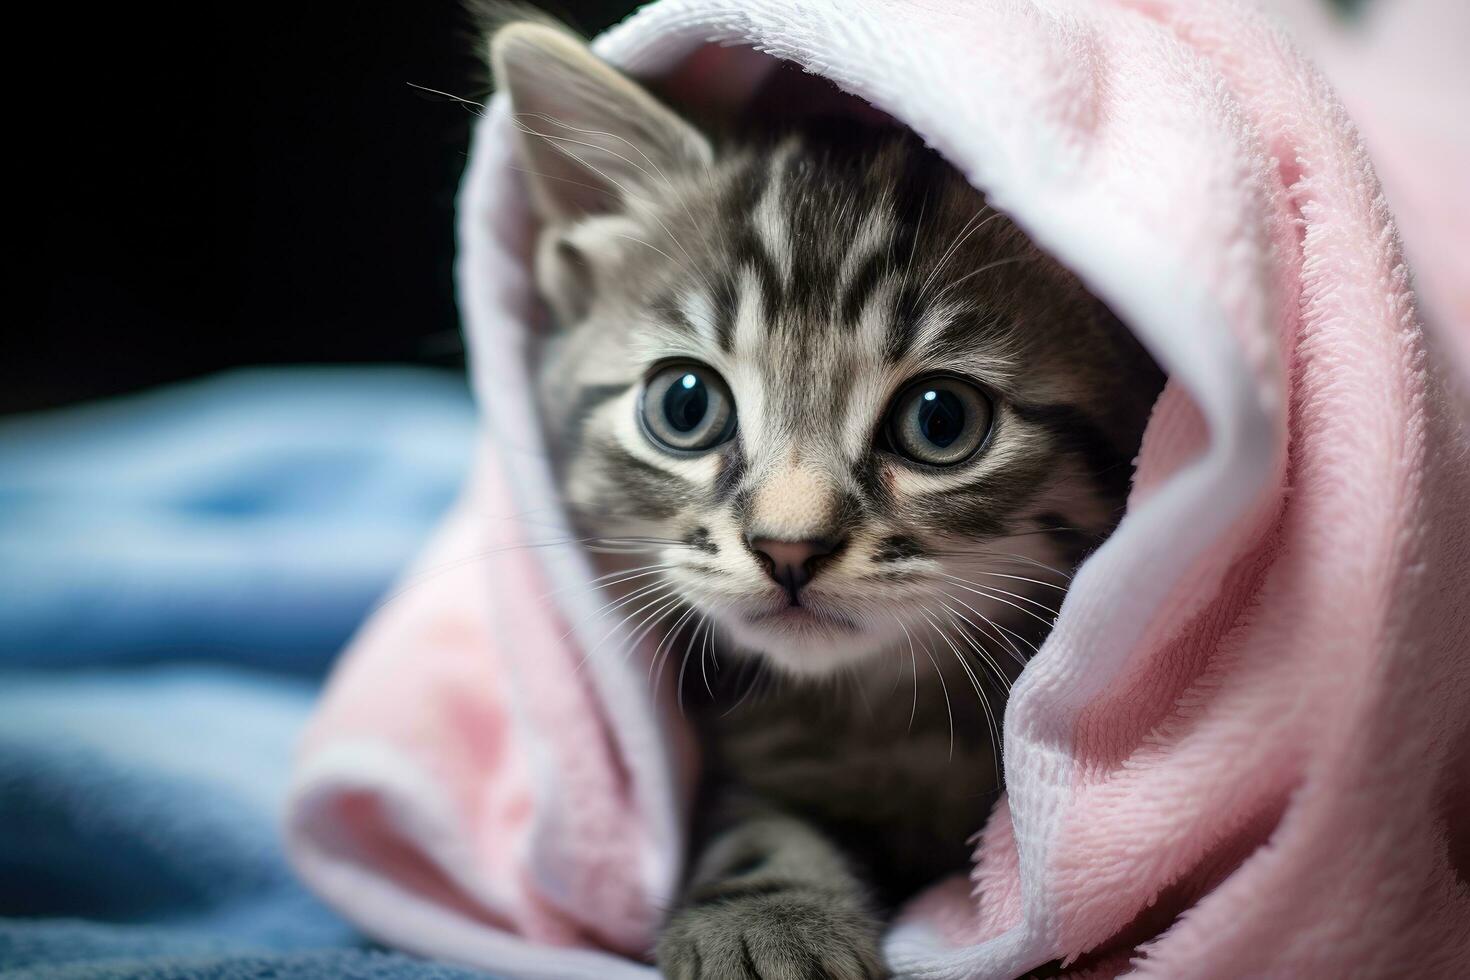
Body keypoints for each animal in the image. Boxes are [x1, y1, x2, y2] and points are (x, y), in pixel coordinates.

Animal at [488, 22, 1164, 980]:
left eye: (940, 419)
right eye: (684, 406)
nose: (788, 547)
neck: (879, 716)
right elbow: (756, 824)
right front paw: (769, 919)